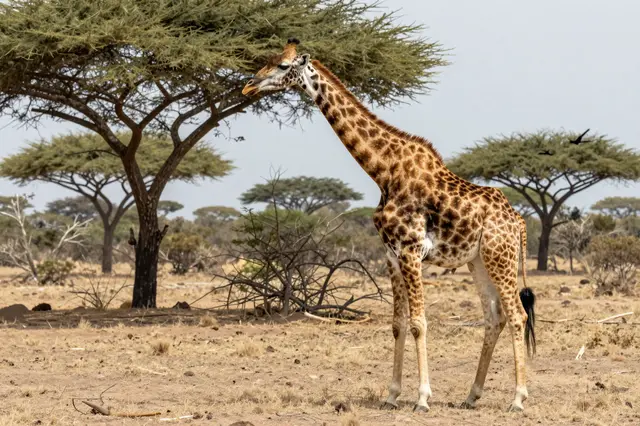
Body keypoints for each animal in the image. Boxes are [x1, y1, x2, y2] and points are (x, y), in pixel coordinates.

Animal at [242, 39, 537, 413]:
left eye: (282, 66)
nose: (249, 85)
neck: (383, 172)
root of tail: (518, 221)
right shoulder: (392, 255)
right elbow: (397, 323)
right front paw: (392, 395)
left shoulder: (411, 251)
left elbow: (419, 323)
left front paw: (422, 398)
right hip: (478, 261)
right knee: (493, 317)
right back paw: (471, 395)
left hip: (501, 257)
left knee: (517, 316)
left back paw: (518, 399)